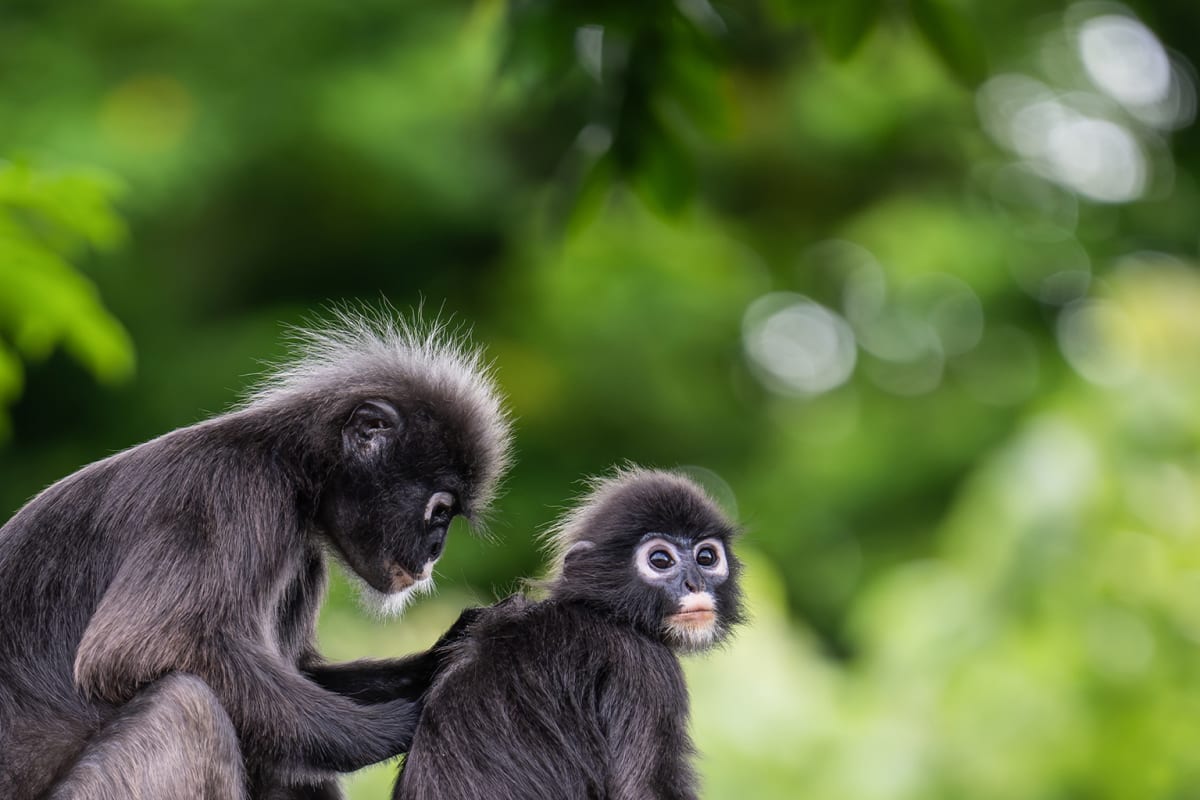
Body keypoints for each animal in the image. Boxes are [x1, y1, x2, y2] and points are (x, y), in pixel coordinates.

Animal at [0, 311, 512, 800]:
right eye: (439, 510)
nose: (435, 551)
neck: (287, 465)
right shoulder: (230, 494)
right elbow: (138, 648)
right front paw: (401, 723)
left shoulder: (300, 554)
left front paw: (443, 655)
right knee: (187, 705)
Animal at [393, 467, 744, 800]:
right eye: (660, 560)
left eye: (706, 557)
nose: (694, 583)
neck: (603, 611)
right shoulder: (643, 666)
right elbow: (642, 788)